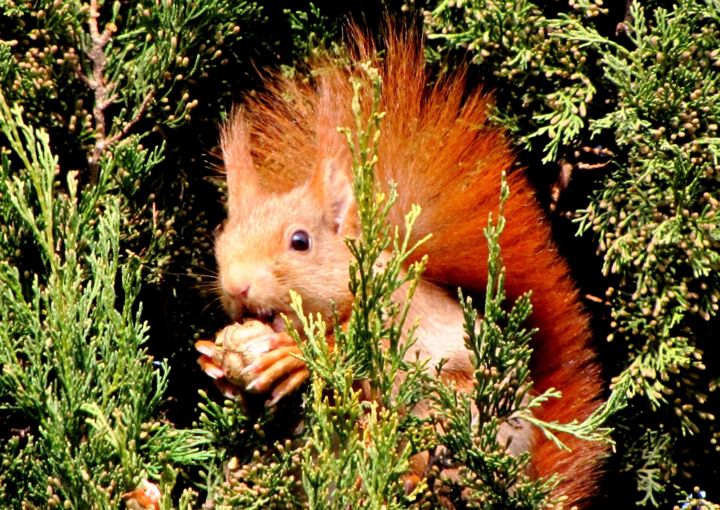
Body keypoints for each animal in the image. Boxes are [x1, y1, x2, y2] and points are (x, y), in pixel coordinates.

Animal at [194, 26, 604, 506]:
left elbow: (362, 352)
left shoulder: (399, 317)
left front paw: (295, 356)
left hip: (451, 403)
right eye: (221, 241)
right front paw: (215, 362)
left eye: (300, 242)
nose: (236, 287)